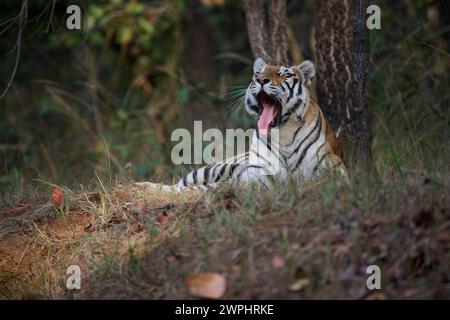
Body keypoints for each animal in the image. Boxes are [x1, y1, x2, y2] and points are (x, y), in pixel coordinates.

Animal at [137, 58, 348, 192]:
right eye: (257, 73)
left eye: (282, 74)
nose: (260, 80)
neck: (283, 132)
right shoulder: (258, 174)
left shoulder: (334, 166)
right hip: (212, 168)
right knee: (179, 184)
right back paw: (143, 186)